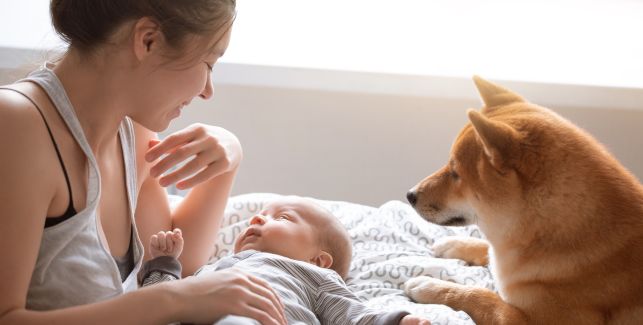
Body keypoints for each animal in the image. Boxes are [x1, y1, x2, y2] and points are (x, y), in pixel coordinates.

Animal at [406, 77, 643, 322]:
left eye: (455, 173)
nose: (410, 195)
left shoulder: (530, 319)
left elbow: (482, 296)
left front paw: (430, 286)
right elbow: (486, 248)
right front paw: (453, 243)